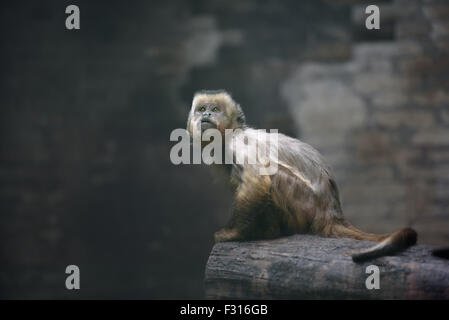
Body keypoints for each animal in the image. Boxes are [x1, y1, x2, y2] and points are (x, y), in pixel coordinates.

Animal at [186, 89, 416, 262]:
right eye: (202, 109)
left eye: (215, 109)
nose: (206, 115)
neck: (228, 136)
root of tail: (332, 213)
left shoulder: (238, 145)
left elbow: (257, 184)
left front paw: (235, 234)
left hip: (306, 208)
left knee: (272, 175)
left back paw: (269, 233)